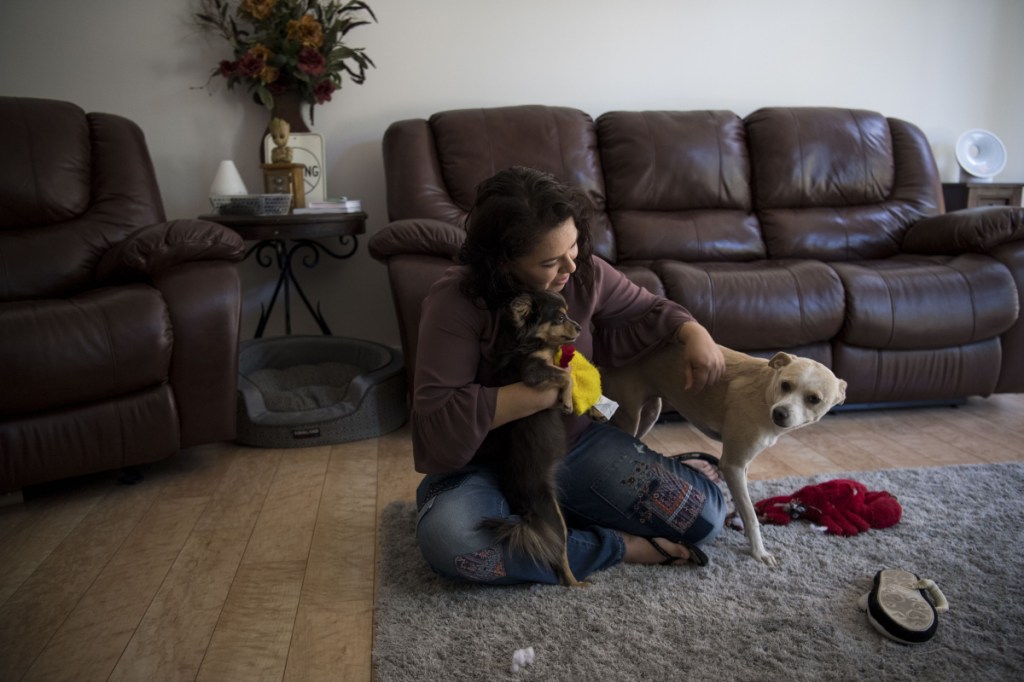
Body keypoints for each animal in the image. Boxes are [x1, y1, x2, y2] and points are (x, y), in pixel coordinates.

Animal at [471, 288, 585, 585]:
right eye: (560, 317)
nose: (579, 326)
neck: (533, 343)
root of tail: (523, 513)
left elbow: (566, 375)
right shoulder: (533, 372)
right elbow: (565, 376)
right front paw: (567, 401)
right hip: (555, 517)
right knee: (559, 556)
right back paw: (578, 583)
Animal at [598, 346, 847, 561]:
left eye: (814, 399)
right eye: (785, 385)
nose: (780, 413)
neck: (764, 395)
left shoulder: (741, 465)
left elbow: (743, 504)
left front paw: (740, 526)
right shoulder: (732, 465)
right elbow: (751, 514)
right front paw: (758, 552)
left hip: (650, 412)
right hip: (629, 416)